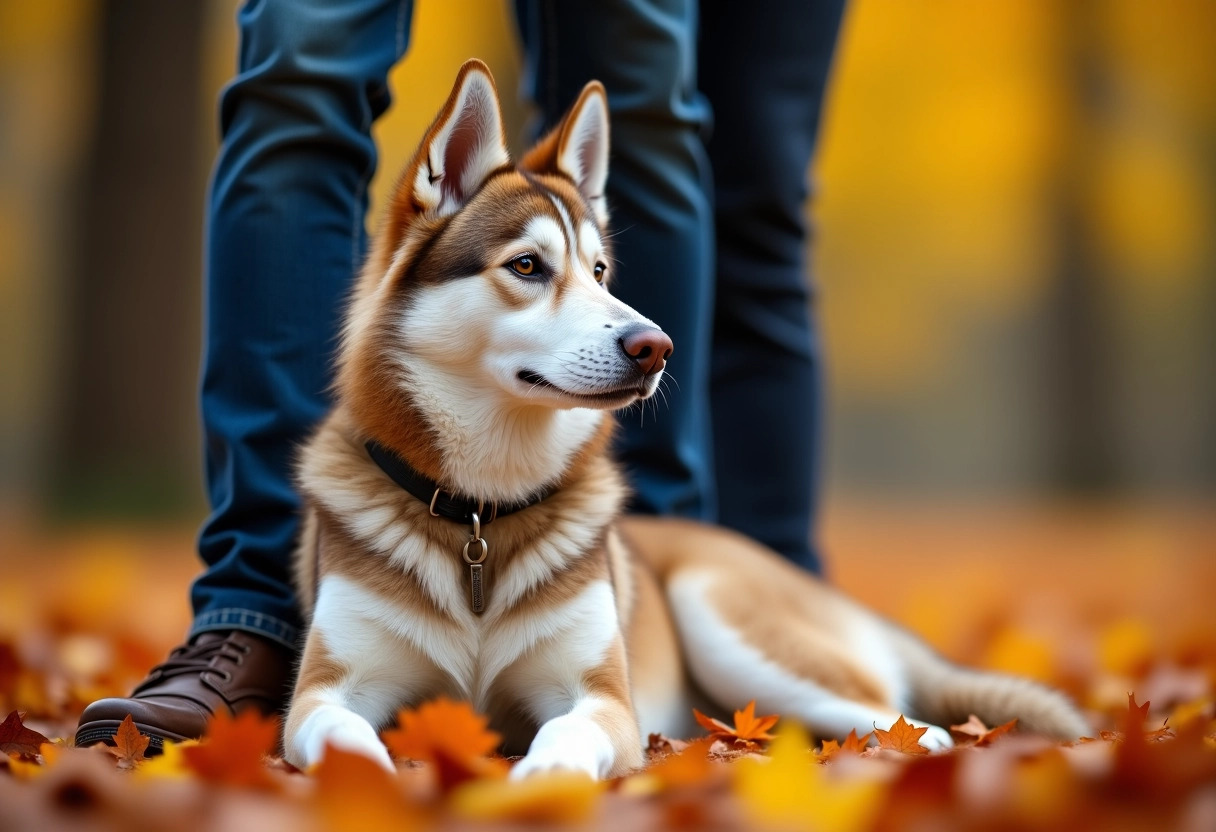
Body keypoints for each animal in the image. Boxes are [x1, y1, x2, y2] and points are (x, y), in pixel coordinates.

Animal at [284, 60, 1094, 778]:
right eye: (527, 267)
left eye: (600, 272)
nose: (656, 346)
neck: (481, 514)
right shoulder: (324, 691)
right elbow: (342, 733)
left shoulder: (603, 699)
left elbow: (567, 734)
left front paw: (545, 779)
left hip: (725, 619)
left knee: (914, 724)